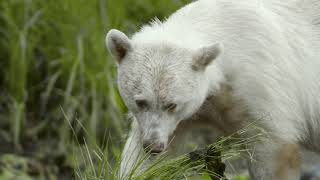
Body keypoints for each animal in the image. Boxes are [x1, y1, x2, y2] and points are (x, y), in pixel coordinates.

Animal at [105, 0, 320, 179]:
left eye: (172, 105)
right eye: (140, 102)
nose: (153, 146)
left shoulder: (260, 81)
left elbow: (272, 146)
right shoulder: (184, 116)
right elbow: (143, 161)